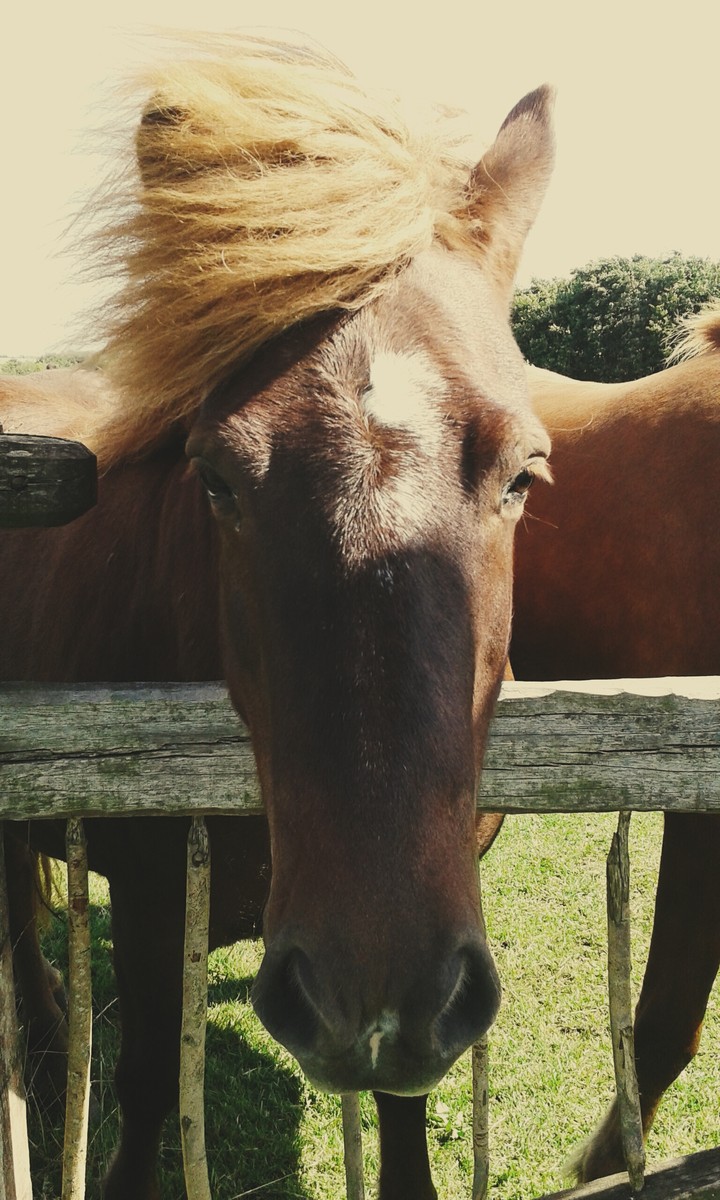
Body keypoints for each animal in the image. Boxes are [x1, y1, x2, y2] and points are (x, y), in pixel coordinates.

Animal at [0, 35, 555, 1200]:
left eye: (523, 474)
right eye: (216, 477)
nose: (366, 989)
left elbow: (405, 1108)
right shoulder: (153, 899)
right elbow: (150, 1084)